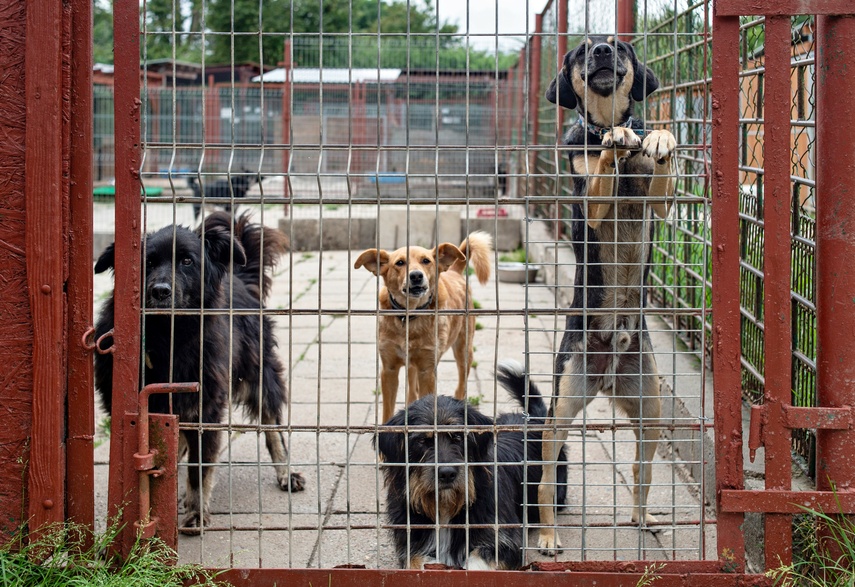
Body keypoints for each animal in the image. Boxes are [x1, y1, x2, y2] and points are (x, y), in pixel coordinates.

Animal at [93, 210, 306, 532]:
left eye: (187, 261)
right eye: (148, 262)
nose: (159, 291)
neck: (167, 337)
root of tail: (238, 277)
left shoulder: (206, 407)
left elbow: (199, 467)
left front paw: (195, 512)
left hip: (260, 376)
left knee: (273, 427)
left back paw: (286, 472)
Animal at [354, 232, 492, 424]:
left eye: (426, 261)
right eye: (400, 263)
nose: (416, 276)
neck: (409, 317)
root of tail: (454, 271)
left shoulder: (427, 371)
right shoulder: (389, 370)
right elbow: (388, 409)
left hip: (464, 351)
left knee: (461, 386)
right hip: (413, 365)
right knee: (412, 391)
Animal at [374, 360, 568, 572]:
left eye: (459, 437)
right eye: (422, 441)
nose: (447, 473)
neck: (446, 509)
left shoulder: (505, 539)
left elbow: (478, 562)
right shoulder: (410, 543)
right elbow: (416, 562)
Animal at [540, 36, 680, 556]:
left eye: (620, 47)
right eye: (581, 51)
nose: (601, 48)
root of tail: (606, 375)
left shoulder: (659, 202)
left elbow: (658, 157)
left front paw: (657, 139)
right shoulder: (592, 201)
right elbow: (601, 161)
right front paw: (611, 142)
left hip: (651, 410)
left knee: (641, 469)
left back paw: (643, 517)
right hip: (560, 408)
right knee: (544, 481)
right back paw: (547, 536)